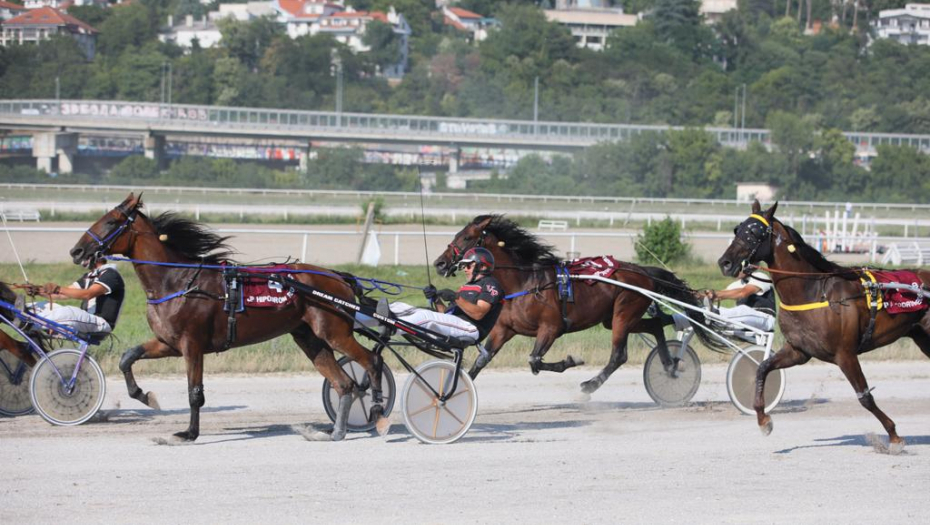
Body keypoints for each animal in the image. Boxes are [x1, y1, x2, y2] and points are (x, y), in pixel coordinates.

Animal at [70, 194, 386, 440]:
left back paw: (379, 414)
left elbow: (194, 392)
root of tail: (338, 276)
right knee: (344, 384)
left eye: (111, 222)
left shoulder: (192, 345)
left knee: (372, 361)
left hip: (334, 332)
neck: (176, 281)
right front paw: (146, 396)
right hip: (308, 337)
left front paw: (189, 433)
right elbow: (127, 357)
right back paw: (336, 432)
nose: (76, 250)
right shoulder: (169, 343)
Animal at [432, 214, 720, 392]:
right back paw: (670, 363)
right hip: (616, 318)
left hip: (623, 313)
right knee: (656, 325)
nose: (439, 263)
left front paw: (570, 361)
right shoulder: (505, 329)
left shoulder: (551, 328)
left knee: (619, 355)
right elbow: (482, 361)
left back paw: (590, 385)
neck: (524, 283)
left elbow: (534, 361)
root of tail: (642, 271)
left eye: (465, 237)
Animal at [716, 200, 928, 446]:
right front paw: (763, 420)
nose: (724, 263)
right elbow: (762, 369)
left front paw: (893, 435)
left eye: (754, 233)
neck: (812, 292)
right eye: (738, 229)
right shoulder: (799, 351)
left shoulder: (845, 354)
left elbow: (865, 397)